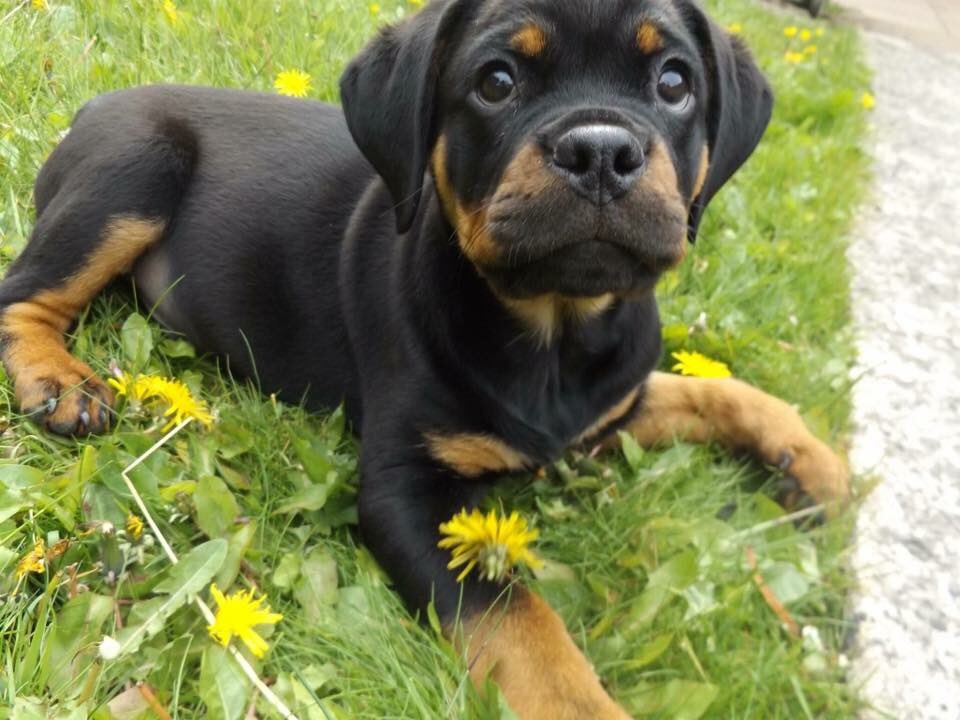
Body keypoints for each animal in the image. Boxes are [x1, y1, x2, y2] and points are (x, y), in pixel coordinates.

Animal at [0, 0, 848, 716]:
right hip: (137, 170)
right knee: (24, 291)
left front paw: (816, 463)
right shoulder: (405, 491)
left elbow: (724, 392)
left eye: (674, 82)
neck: (556, 331)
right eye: (496, 81)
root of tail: (95, 108)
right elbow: (521, 623)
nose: (601, 151)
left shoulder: (611, 406)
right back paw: (60, 380)